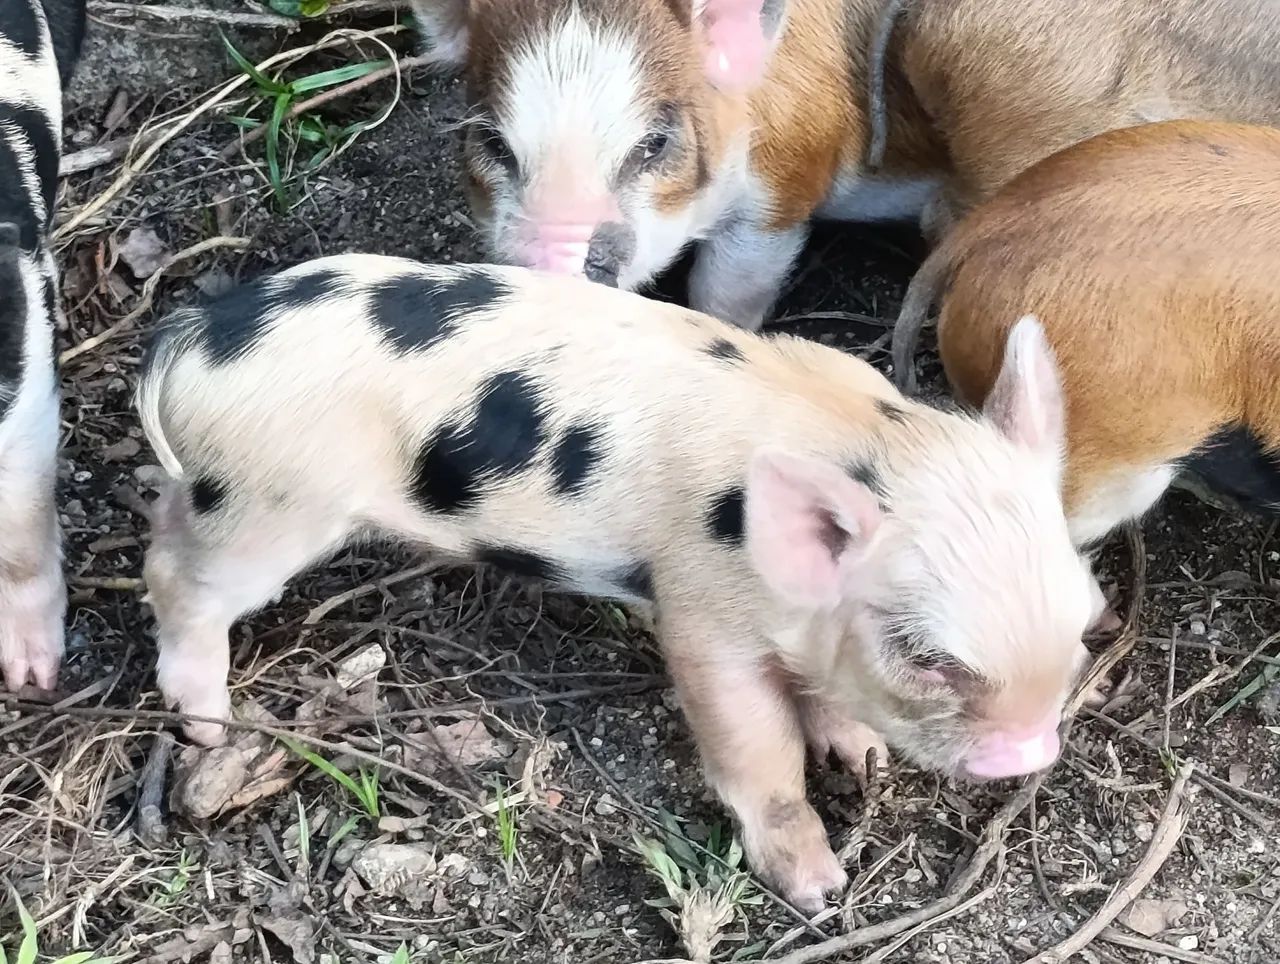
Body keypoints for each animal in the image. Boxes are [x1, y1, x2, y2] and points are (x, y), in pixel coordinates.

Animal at [136, 254, 1100, 910]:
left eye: (1087, 620)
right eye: (926, 655)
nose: (1031, 754)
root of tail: (193, 337)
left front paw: (862, 757)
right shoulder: (701, 611)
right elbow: (754, 746)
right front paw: (820, 889)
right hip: (268, 502)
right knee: (173, 577)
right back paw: (208, 728)